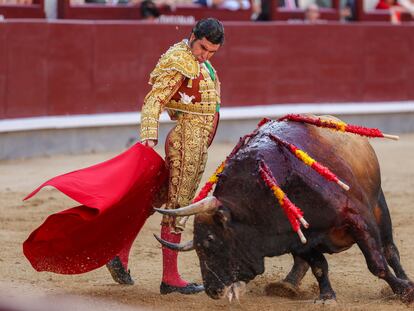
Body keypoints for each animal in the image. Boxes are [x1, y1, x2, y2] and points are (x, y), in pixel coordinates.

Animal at [154, 117, 412, 304]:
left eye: (210, 239)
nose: (212, 290)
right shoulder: (298, 237)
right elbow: (319, 266)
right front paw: (326, 296)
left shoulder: (357, 218)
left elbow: (377, 263)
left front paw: (404, 290)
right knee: (303, 263)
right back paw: (286, 285)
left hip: (380, 207)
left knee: (390, 250)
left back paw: (405, 280)